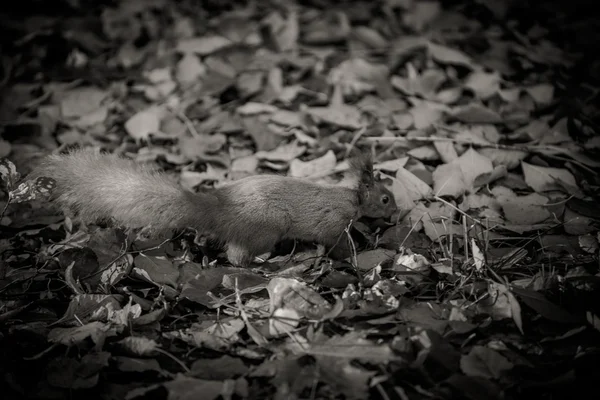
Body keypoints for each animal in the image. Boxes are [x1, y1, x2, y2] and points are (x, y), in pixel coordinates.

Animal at [30, 147, 398, 266]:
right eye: (385, 198)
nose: (396, 213)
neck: (350, 197)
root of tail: (223, 207)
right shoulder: (333, 222)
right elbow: (336, 242)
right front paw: (355, 253)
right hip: (267, 229)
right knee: (236, 255)